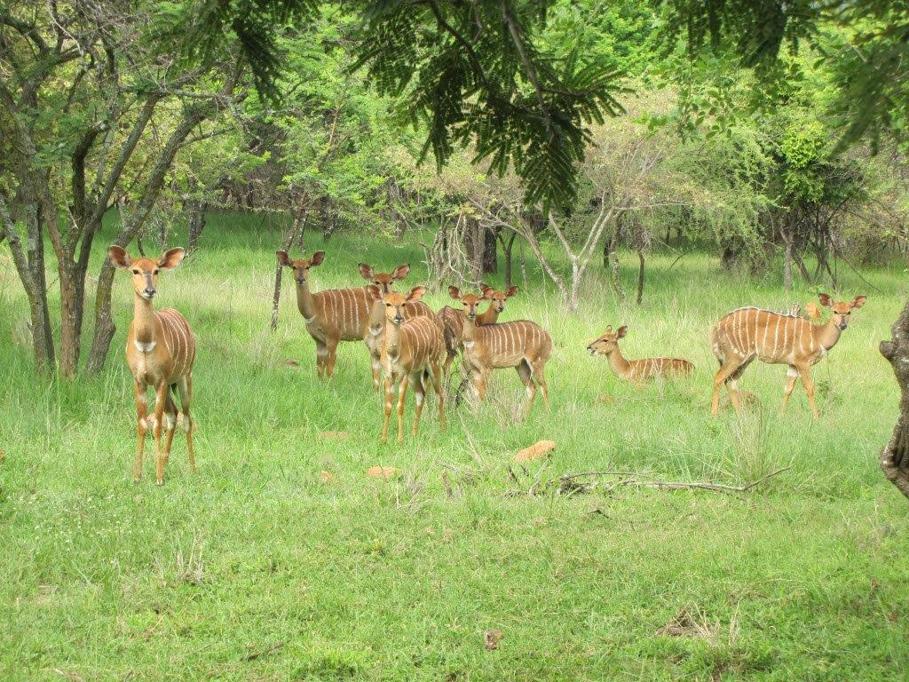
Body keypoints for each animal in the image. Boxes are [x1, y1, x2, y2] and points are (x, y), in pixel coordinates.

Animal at [109, 246, 196, 485]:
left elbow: (155, 424)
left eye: (157, 270)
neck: (145, 342)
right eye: (135, 270)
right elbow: (142, 423)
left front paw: (158, 478)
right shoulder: (139, 380)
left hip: (184, 378)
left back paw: (192, 469)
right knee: (173, 415)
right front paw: (137, 476)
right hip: (169, 387)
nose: (149, 290)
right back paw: (165, 464)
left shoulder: (161, 380)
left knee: (186, 418)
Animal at [277, 250, 377, 378]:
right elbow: (319, 368)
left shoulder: (333, 337)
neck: (315, 307)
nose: (301, 279)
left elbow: (330, 368)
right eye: (293, 266)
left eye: (308, 267)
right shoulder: (318, 340)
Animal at [371, 285, 446, 443]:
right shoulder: (388, 375)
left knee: (440, 394)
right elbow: (388, 406)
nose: (398, 317)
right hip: (415, 374)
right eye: (388, 304)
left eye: (403, 303)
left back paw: (443, 429)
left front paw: (399, 439)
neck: (393, 353)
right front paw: (383, 438)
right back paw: (414, 433)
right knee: (421, 394)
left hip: (434, 365)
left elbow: (400, 406)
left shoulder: (403, 375)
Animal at [448, 286, 551, 416]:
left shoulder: (487, 368)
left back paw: (547, 414)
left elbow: (481, 394)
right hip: (521, 365)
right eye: (464, 303)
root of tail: (546, 336)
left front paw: (479, 416)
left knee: (543, 386)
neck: (474, 337)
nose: (472, 314)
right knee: (531, 388)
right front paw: (474, 415)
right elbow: (475, 393)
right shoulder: (475, 369)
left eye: (477, 303)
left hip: (536, 362)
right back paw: (524, 416)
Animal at [710, 293, 866, 417]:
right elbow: (809, 388)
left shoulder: (792, 365)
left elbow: (788, 389)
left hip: (746, 359)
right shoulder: (803, 363)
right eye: (835, 311)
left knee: (730, 381)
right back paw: (714, 414)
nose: (842, 325)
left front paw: (781, 415)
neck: (817, 336)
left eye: (849, 312)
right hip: (735, 356)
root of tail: (716, 327)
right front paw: (816, 417)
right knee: (719, 378)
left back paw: (741, 415)